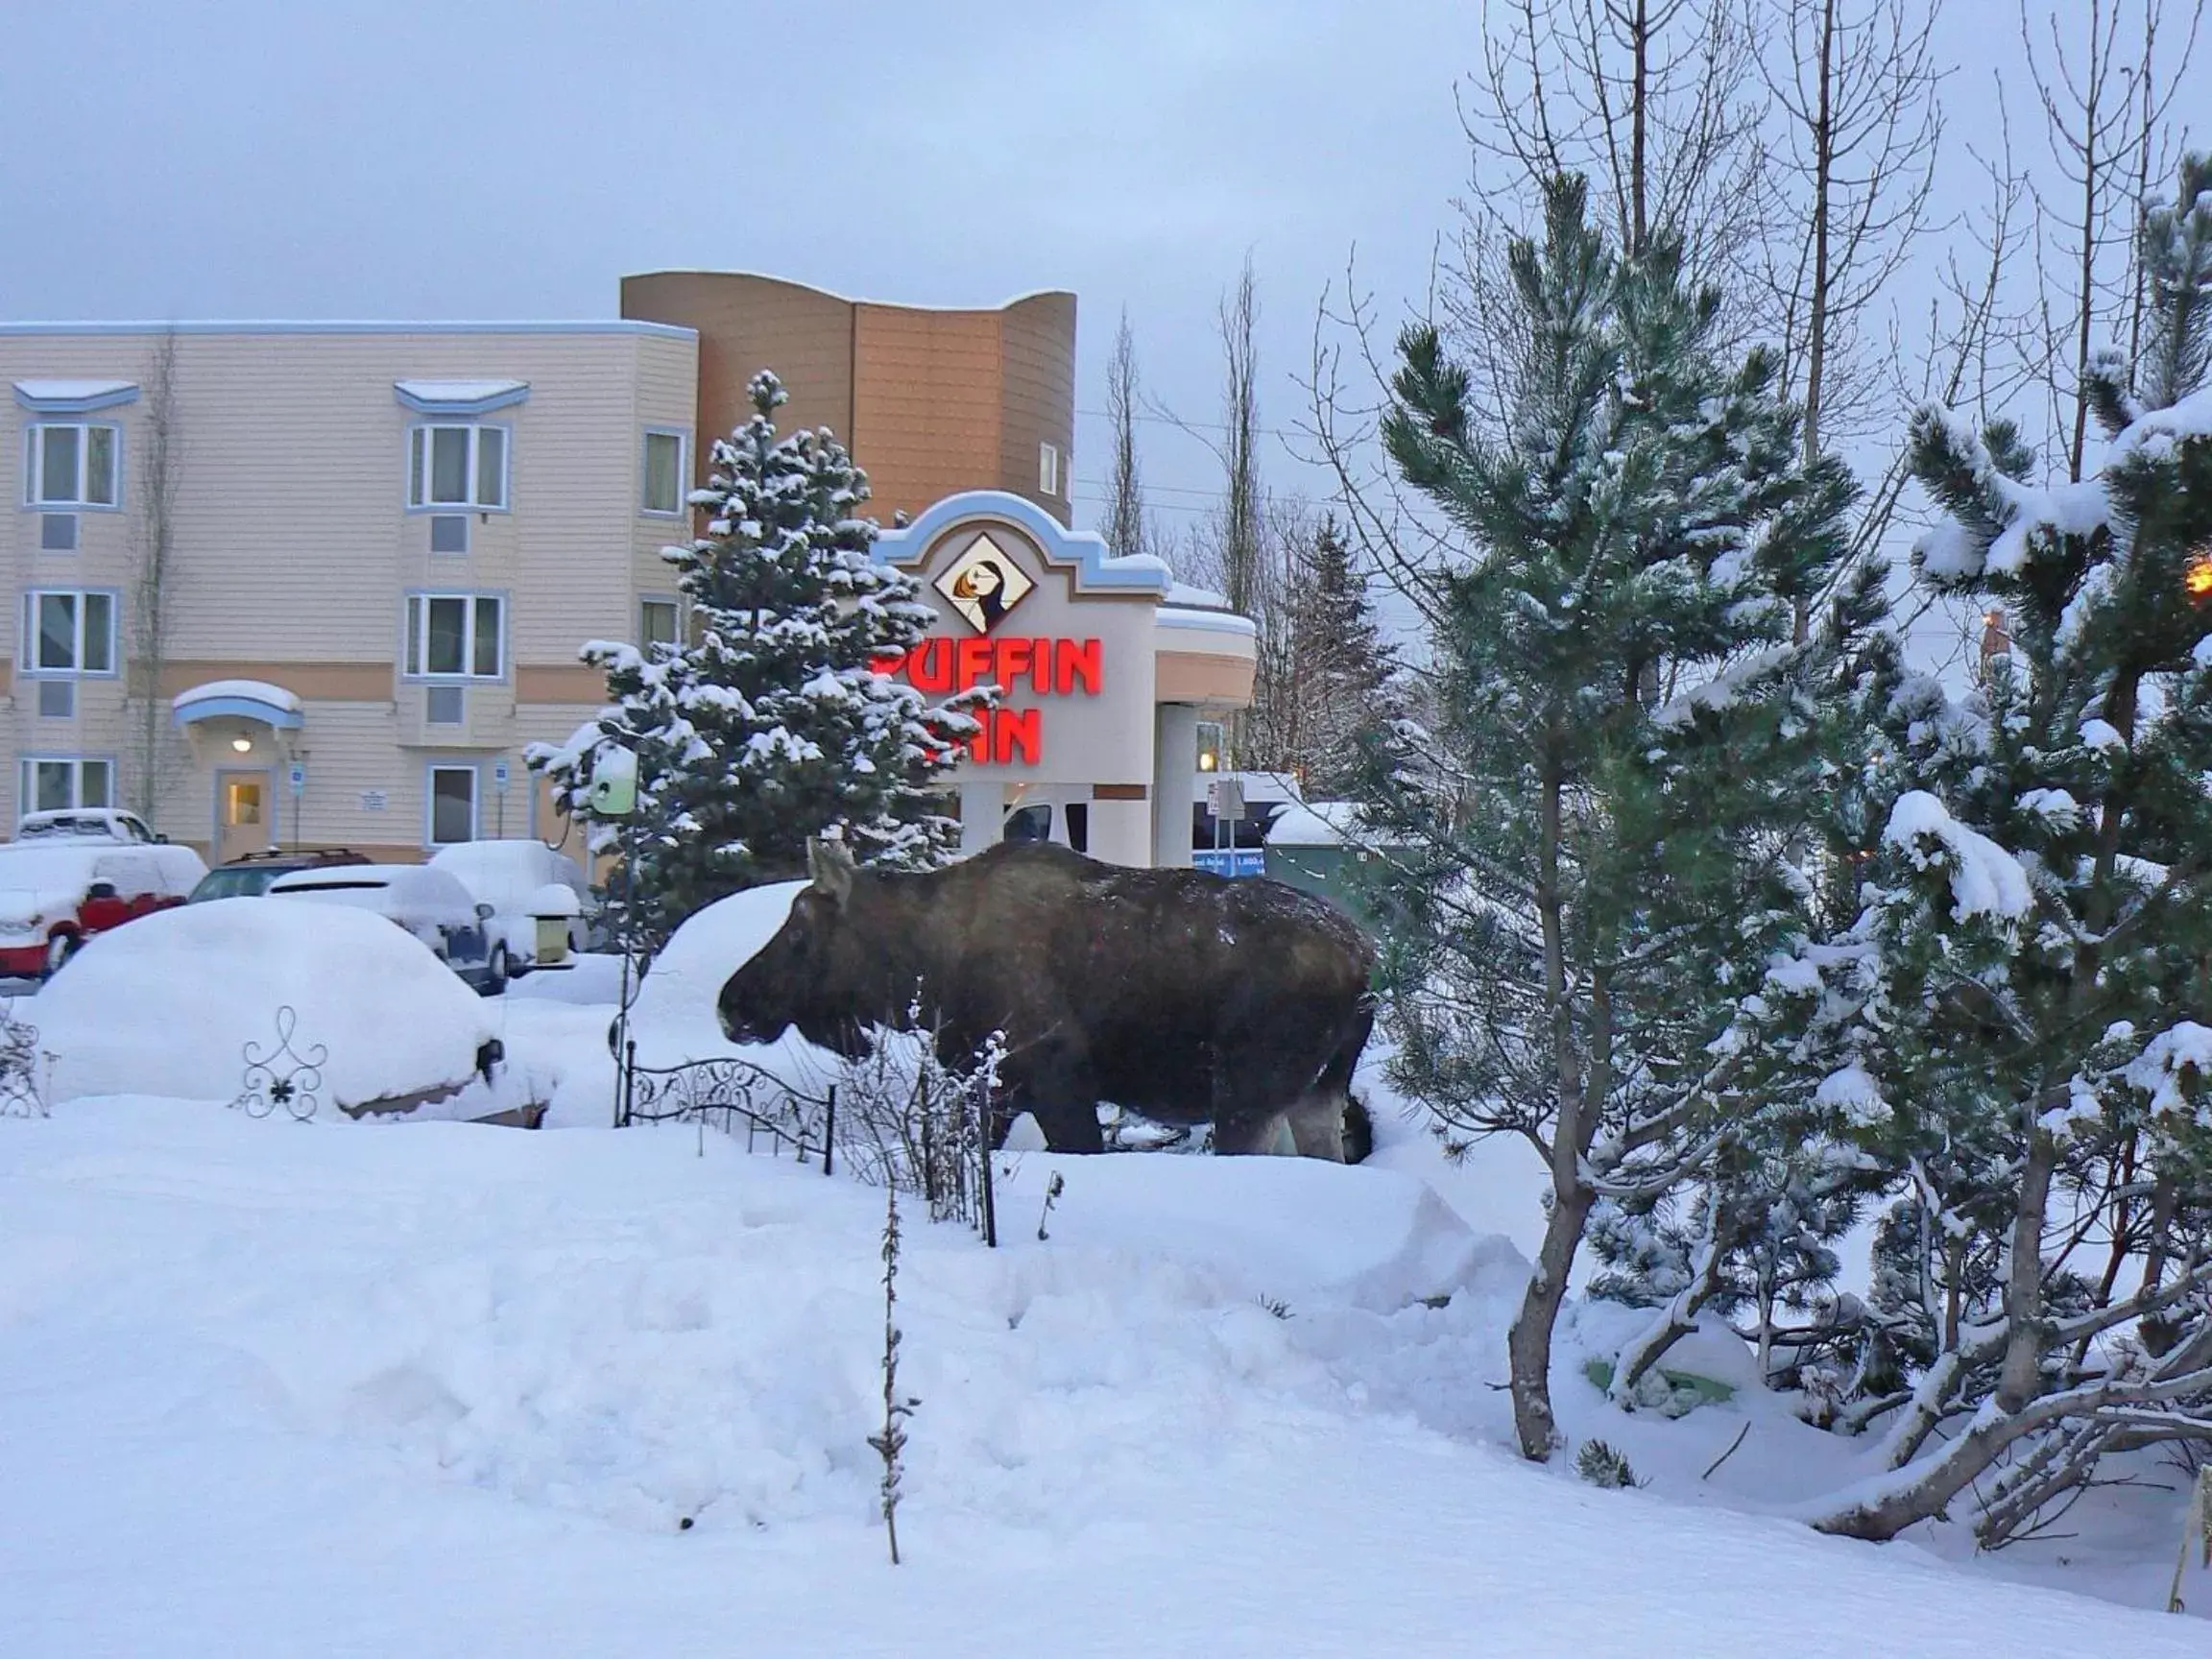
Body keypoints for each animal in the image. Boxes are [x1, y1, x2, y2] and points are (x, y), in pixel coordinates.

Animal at [716, 845, 1371, 1159]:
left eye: (799, 934)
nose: (731, 1004)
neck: (923, 968)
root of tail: (1365, 962)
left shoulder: (1059, 1085)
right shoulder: (994, 1088)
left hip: (1248, 1093)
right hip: (1319, 1091)